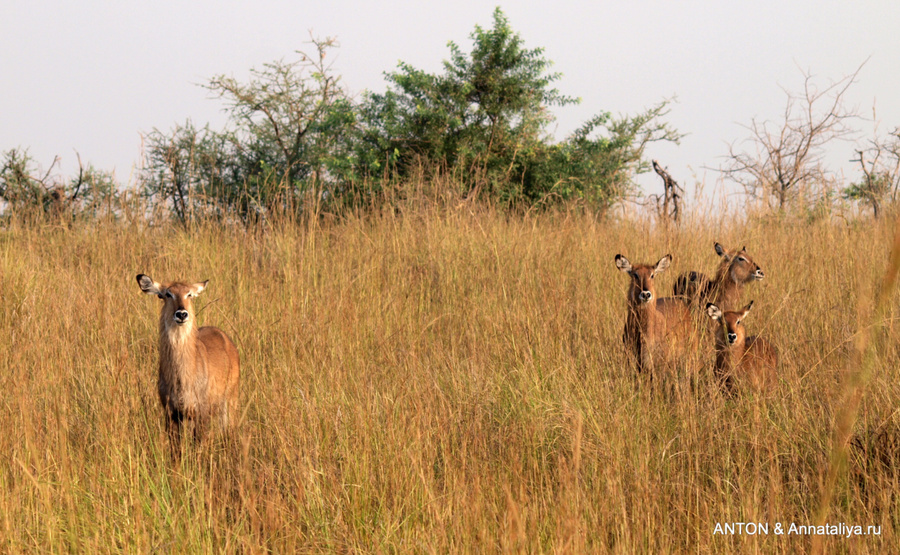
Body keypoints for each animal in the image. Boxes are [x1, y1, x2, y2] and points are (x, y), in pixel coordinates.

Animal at [134, 274, 239, 456]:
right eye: (166, 294)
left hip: (230, 402)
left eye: (189, 294)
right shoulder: (171, 413)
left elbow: (198, 449)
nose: (182, 314)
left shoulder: (200, 413)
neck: (182, 379)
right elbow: (175, 451)